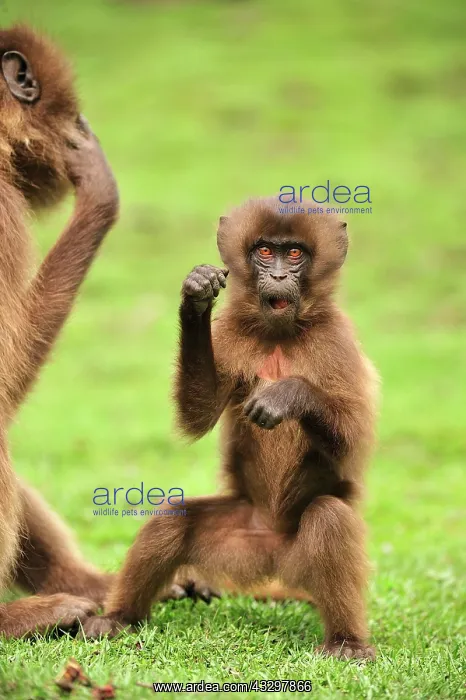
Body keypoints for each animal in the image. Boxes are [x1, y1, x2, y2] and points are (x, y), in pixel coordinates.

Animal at [83, 197, 378, 660]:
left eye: (295, 254)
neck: (281, 336)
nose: (278, 276)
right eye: (265, 251)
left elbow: (352, 445)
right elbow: (199, 414)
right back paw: (119, 618)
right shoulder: (233, 333)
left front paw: (288, 395)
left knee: (329, 517)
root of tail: (272, 547)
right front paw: (196, 299)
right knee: (173, 518)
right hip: (240, 537)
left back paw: (346, 641)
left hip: (292, 549)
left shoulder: (336, 341)